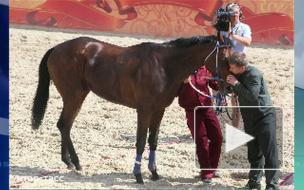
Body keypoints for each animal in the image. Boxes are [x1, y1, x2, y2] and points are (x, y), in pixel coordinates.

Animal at [31, 33, 233, 183]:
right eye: (225, 59)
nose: (230, 87)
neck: (164, 66)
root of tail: (57, 48)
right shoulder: (144, 110)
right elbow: (141, 142)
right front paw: (138, 175)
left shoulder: (159, 110)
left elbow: (153, 141)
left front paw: (154, 173)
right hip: (74, 96)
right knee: (64, 125)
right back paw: (76, 162)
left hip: (76, 96)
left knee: (64, 125)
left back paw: (69, 162)